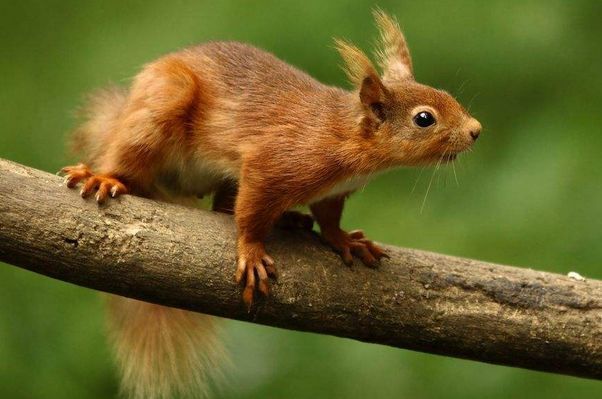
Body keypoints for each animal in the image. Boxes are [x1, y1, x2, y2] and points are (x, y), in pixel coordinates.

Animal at [61, 9, 480, 399]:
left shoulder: (331, 192)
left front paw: (344, 240)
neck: (347, 137)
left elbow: (328, 218)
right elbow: (250, 213)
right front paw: (251, 252)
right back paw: (106, 177)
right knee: (132, 157)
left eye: (447, 95)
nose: (476, 130)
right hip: (162, 104)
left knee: (221, 206)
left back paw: (289, 220)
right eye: (424, 118)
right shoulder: (272, 164)